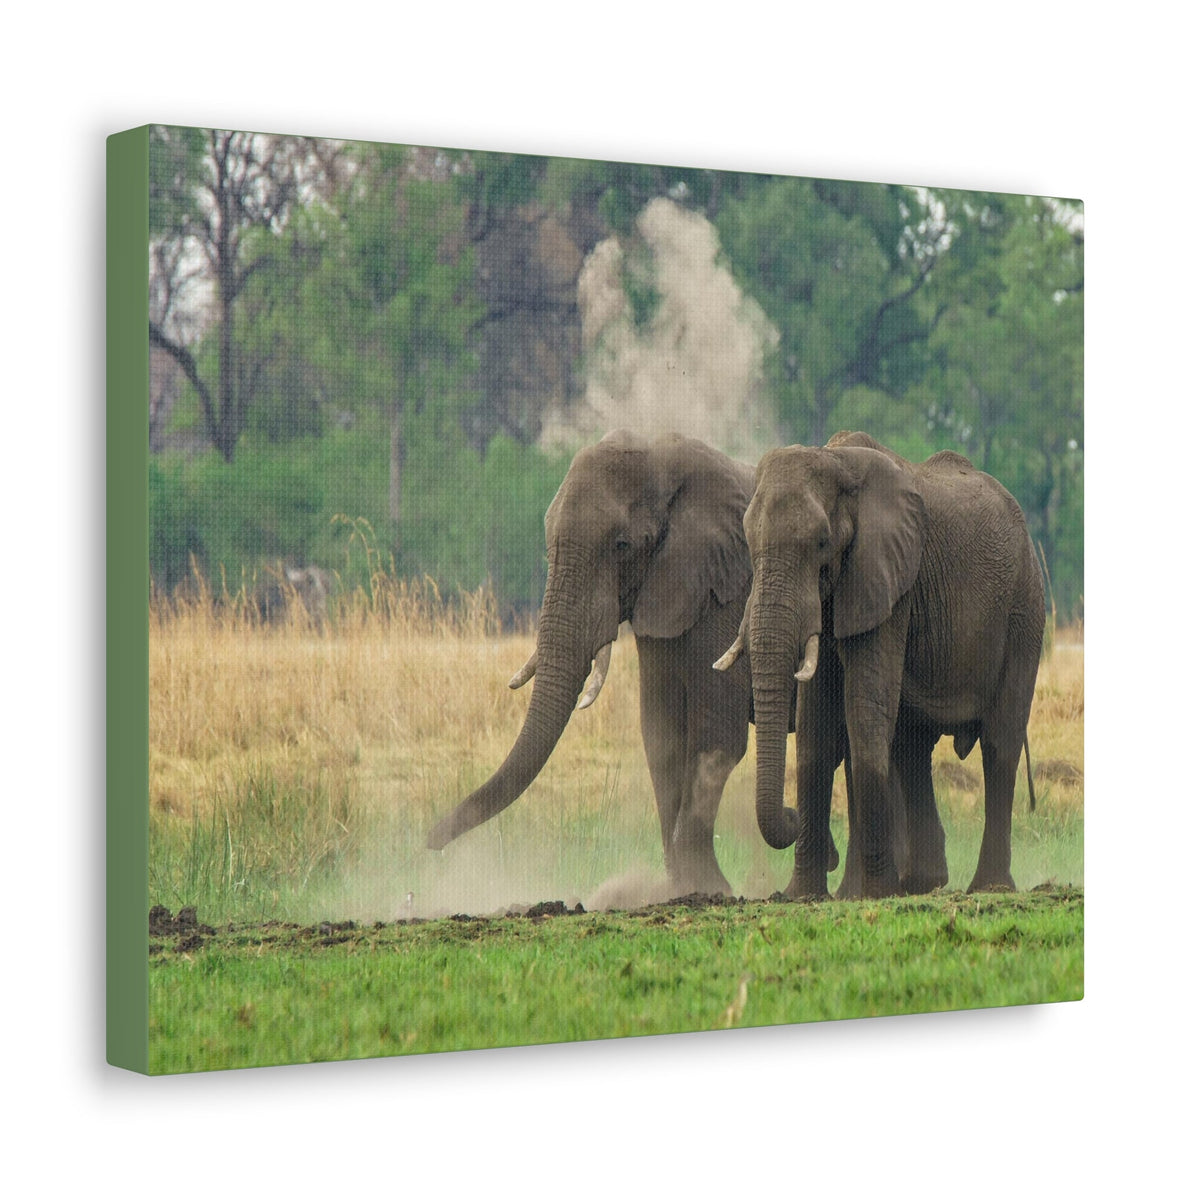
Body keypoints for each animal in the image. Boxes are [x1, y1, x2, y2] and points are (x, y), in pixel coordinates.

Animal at [426, 429, 760, 896]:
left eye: (621, 546)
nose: (428, 843)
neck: (665, 456)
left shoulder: (725, 588)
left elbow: (716, 734)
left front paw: (710, 889)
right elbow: (661, 735)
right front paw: (679, 890)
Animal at [716, 431, 1044, 899]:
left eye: (821, 543)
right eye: (747, 541)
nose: (790, 816)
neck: (836, 461)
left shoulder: (887, 583)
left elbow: (863, 709)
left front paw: (869, 894)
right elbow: (816, 725)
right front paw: (804, 896)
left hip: (1024, 609)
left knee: (1000, 742)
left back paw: (988, 888)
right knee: (912, 746)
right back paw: (921, 883)